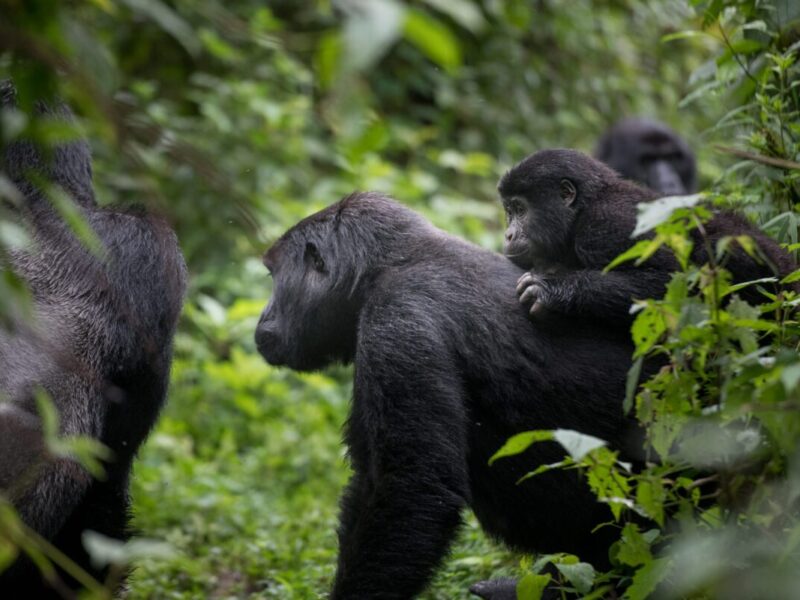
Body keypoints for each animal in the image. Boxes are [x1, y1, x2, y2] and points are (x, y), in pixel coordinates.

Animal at [255, 195, 636, 596]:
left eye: (273, 277)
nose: (264, 316)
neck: (389, 265)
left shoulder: (396, 325)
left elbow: (412, 488)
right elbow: (371, 479)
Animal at [500, 150, 792, 324]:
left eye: (520, 209)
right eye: (509, 212)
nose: (508, 234)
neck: (584, 207)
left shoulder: (607, 225)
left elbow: (672, 280)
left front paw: (554, 289)